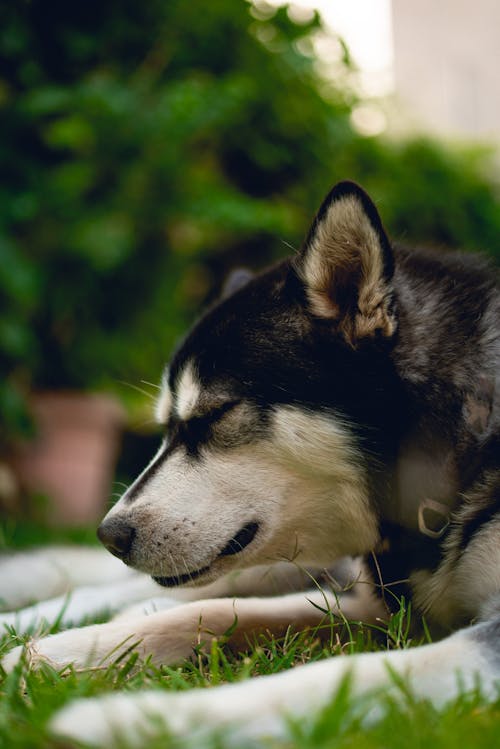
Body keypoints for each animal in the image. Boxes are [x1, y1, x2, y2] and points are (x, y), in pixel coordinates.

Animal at [0, 180, 500, 744]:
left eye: (214, 414)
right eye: (165, 426)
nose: (111, 535)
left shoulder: (393, 622)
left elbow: (342, 674)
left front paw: (138, 719)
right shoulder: (372, 607)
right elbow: (211, 611)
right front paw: (53, 655)